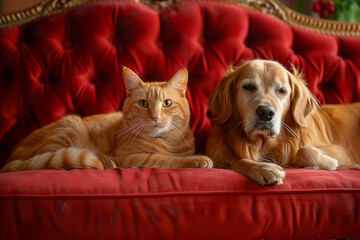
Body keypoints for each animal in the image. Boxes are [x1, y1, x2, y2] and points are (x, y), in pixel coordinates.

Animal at [0, 67, 212, 172]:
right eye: (143, 103)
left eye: (167, 103)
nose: (155, 117)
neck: (169, 141)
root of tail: (9, 159)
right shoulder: (130, 157)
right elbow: (165, 159)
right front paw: (197, 159)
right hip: (70, 129)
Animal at [205, 59, 360, 185]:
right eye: (248, 87)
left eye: (281, 90)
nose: (265, 112)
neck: (266, 145)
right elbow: (239, 162)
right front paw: (265, 169)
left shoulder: (341, 151)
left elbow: (302, 150)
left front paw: (330, 163)